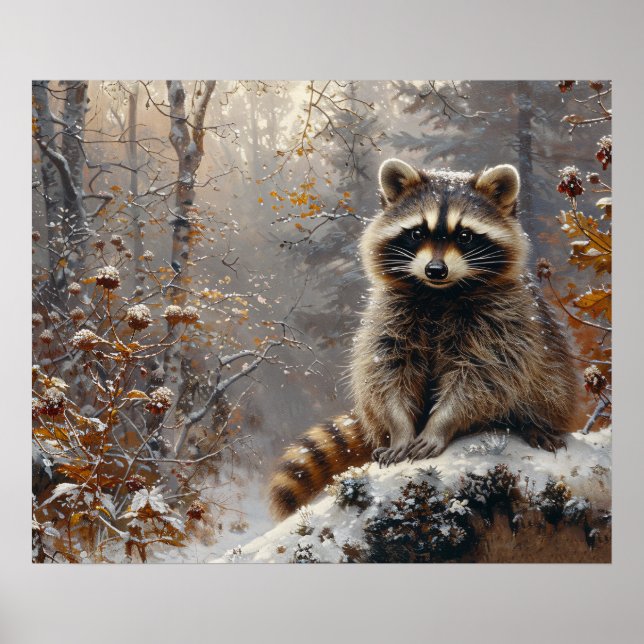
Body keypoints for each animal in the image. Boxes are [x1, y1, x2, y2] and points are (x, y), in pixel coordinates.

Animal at [269, 158, 577, 520]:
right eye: (417, 233)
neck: (438, 294)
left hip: (553, 385)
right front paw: (401, 429)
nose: (435, 269)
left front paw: (441, 424)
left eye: (465, 235)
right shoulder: (389, 316)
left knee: (543, 388)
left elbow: (482, 378)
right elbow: (387, 373)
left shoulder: (504, 321)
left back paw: (532, 424)